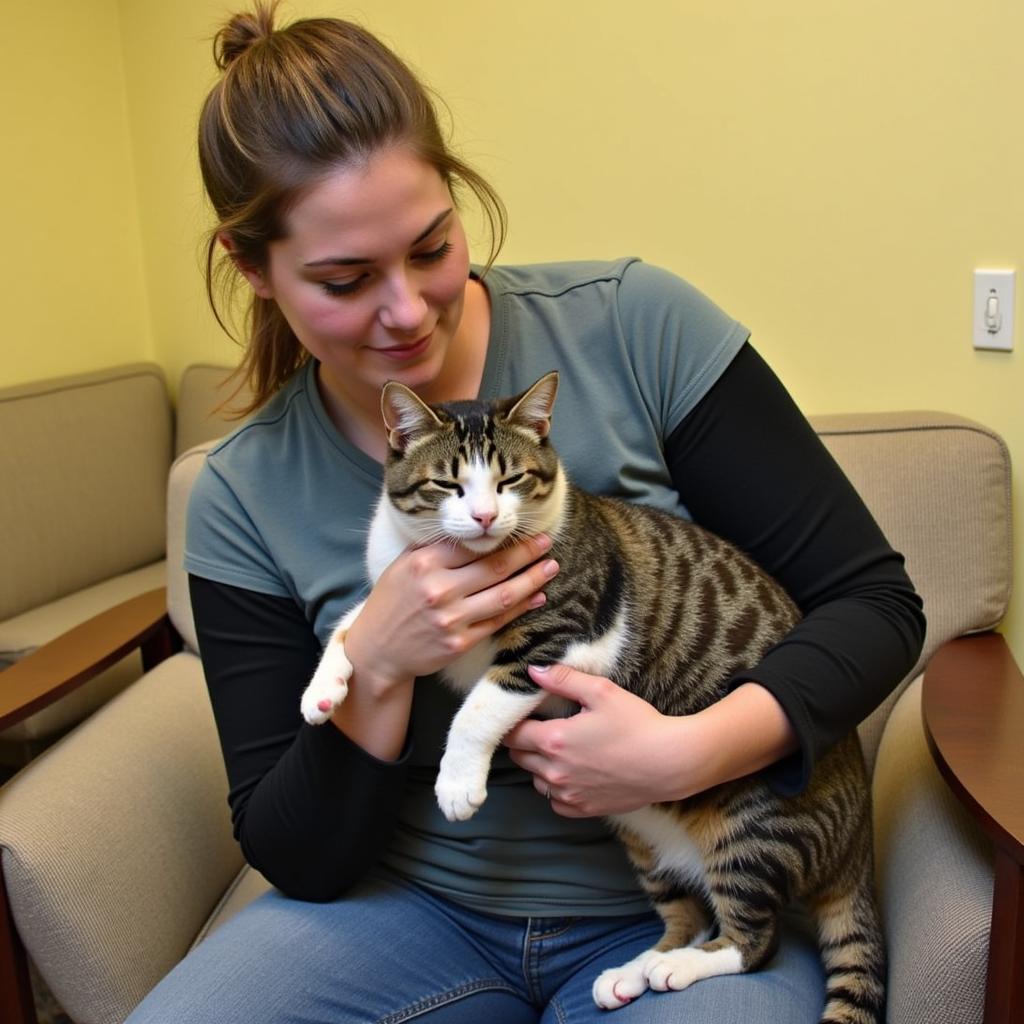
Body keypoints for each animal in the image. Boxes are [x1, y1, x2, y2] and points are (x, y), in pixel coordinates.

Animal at [299, 374, 884, 1024]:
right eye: (447, 484)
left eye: (510, 479)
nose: (484, 516)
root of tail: (859, 841)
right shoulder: (401, 589)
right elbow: (357, 620)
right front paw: (322, 690)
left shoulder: (564, 638)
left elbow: (480, 705)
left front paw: (456, 782)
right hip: (645, 840)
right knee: (687, 916)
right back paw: (633, 972)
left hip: (751, 826)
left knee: (753, 940)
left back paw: (678, 967)